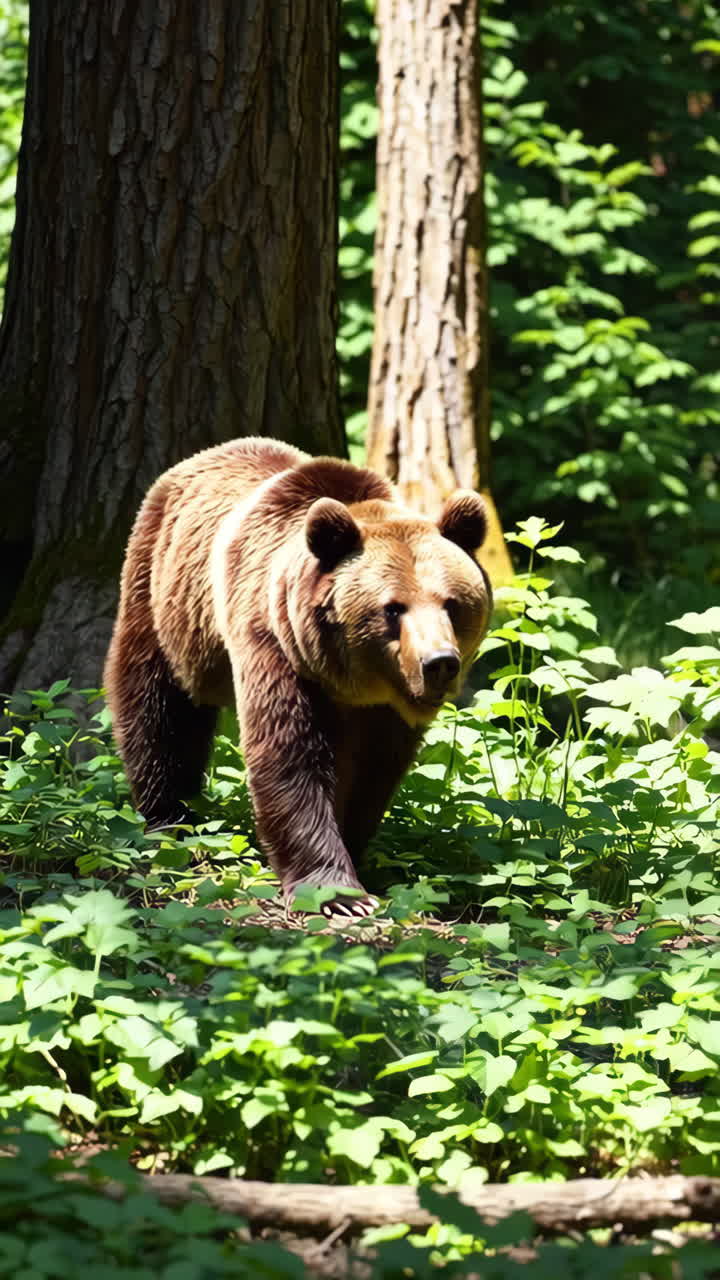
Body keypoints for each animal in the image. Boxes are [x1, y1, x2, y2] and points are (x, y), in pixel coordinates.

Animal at [104, 437, 492, 915]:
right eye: (392, 608)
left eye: (452, 604)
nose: (439, 662)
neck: (354, 680)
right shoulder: (275, 644)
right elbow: (290, 754)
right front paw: (337, 893)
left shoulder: (386, 709)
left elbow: (374, 770)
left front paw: (355, 851)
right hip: (166, 600)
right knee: (158, 709)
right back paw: (168, 820)